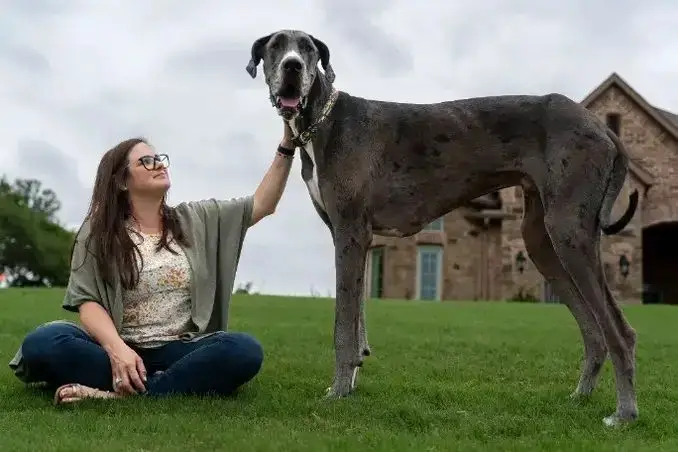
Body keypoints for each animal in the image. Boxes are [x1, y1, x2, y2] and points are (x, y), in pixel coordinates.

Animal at [246, 29, 644, 428]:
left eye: (308, 49)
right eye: (276, 46)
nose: (293, 66)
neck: (323, 122)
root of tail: (603, 127)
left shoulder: (350, 233)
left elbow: (343, 326)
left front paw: (338, 392)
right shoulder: (353, 239)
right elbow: (357, 319)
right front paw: (352, 382)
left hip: (569, 232)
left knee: (619, 331)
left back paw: (624, 413)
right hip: (541, 242)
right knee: (594, 330)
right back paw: (580, 397)